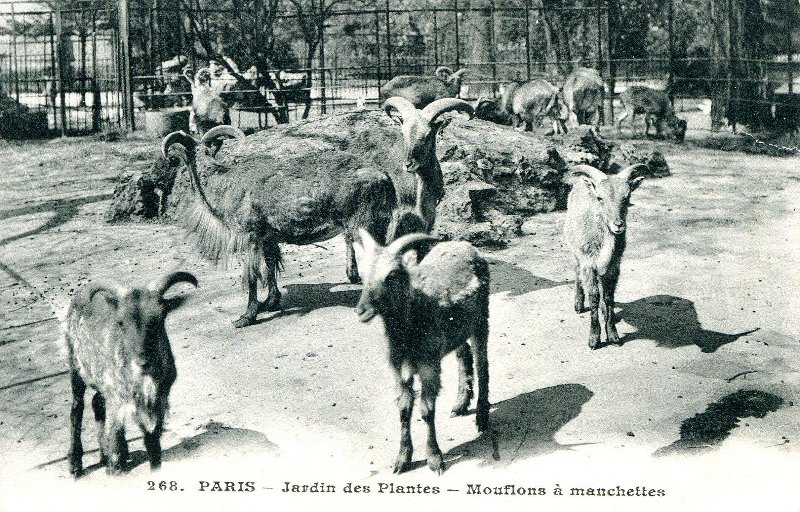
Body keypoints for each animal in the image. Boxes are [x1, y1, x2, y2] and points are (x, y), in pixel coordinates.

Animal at [65, 271, 198, 476]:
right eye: (120, 322)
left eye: (160, 317)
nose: (142, 362)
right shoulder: (117, 397)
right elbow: (115, 431)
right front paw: (114, 466)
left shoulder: (156, 400)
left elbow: (152, 442)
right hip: (76, 366)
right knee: (77, 407)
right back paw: (76, 463)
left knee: (97, 402)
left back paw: (108, 453)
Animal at [162, 98, 473, 328]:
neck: (222, 182)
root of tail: (385, 178)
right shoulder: (267, 236)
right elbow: (270, 267)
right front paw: (271, 302)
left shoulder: (249, 235)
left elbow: (252, 276)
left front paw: (246, 317)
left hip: (365, 226)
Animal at [353, 229, 490, 474]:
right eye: (363, 274)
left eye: (391, 275)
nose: (362, 311)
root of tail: (467, 247)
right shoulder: (400, 369)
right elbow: (404, 409)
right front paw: (402, 459)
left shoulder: (429, 365)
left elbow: (427, 411)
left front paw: (434, 458)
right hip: (457, 330)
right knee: (463, 354)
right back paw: (460, 403)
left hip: (481, 319)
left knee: (482, 363)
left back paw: (482, 418)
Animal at [563, 164, 649, 349]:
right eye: (600, 198)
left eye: (627, 197)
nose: (618, 225)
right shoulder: (588, 264)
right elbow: (594, 296)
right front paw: (594, 339)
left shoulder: (613, 266)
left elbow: (609, 297)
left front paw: (613, 336)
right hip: (576, 253)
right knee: (576, 271)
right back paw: (578, 304)